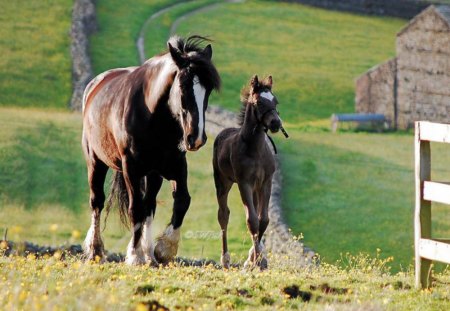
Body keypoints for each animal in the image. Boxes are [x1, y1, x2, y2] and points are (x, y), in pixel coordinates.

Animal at [82, 36, 221, 266]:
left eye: (208, 90)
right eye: (182, 86)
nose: (196, 138)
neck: (154, 116)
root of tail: (94, 85)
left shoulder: (175, 165)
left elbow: (182, 200)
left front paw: (163, 250)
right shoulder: (131, 168)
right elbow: (135, 208)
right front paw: (134, 255)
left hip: (153, 174)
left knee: (149, 205)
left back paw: (149, 254)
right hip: (95, 161)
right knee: (97, 202)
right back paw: (95, 250)